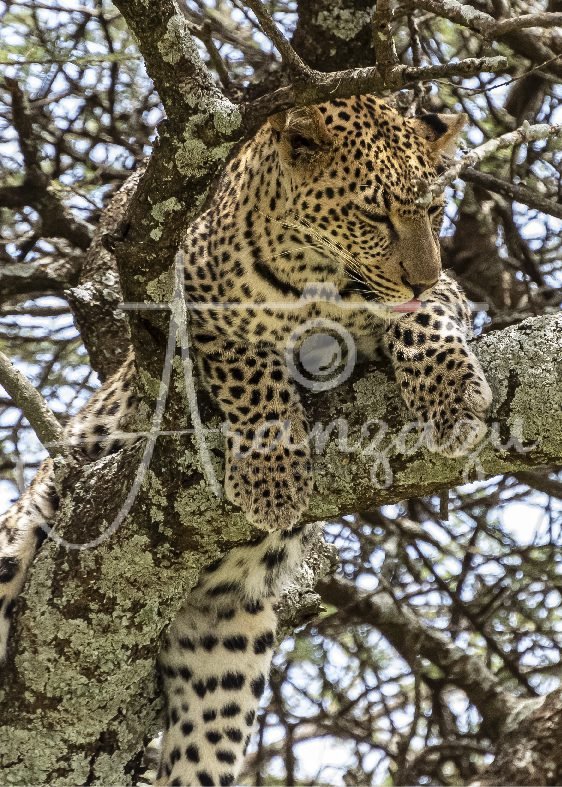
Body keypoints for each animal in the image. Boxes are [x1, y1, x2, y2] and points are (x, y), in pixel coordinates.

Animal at [0, 95, 492, 786]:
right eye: (374, 214)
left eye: (437, 212)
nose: (421, 276)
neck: (316, 273)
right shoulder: (190, 311)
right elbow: (248, 366)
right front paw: (272, 478)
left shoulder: (431, 297)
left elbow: (427, 318)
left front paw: (451, 400)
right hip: (22, 531)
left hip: (226, 659)